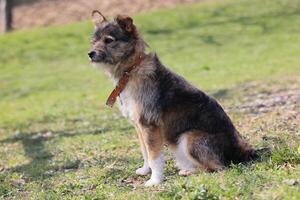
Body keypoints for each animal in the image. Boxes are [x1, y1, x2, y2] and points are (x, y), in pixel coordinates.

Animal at [88, 10, 256, 186]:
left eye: (108, 40)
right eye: (93, 41)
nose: (90, 54)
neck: (131, 70)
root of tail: (241, 152)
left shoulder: (149, 125)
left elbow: (154, 157)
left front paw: (155, 180)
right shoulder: (138, 126)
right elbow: (145, 153)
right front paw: (145, 171)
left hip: (189, 137)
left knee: (217, 167)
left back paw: (188, 172)